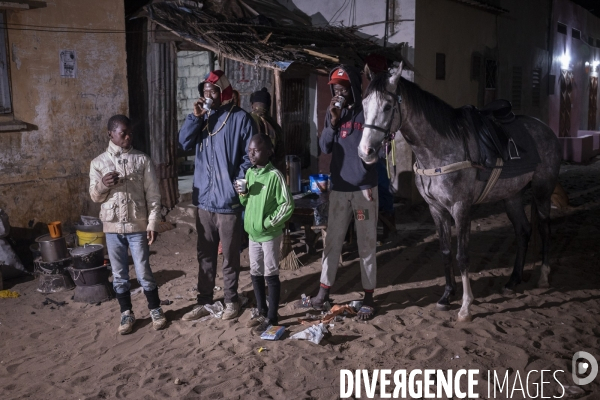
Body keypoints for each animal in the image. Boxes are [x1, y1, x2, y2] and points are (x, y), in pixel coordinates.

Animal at [360, 65, 564, 322]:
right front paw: (447, 295)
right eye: (363, 104)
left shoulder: (461, 208)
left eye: (387, 106)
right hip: (512, 196)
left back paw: (544, 276)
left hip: (542, 192)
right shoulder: (436, 209)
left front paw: (466, 306)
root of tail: (546, 129)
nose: (365, 152)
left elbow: (462, 255)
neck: (439, 150)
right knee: (523, 231)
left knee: (545, 230)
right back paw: (513, 280)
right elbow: (446, 251)